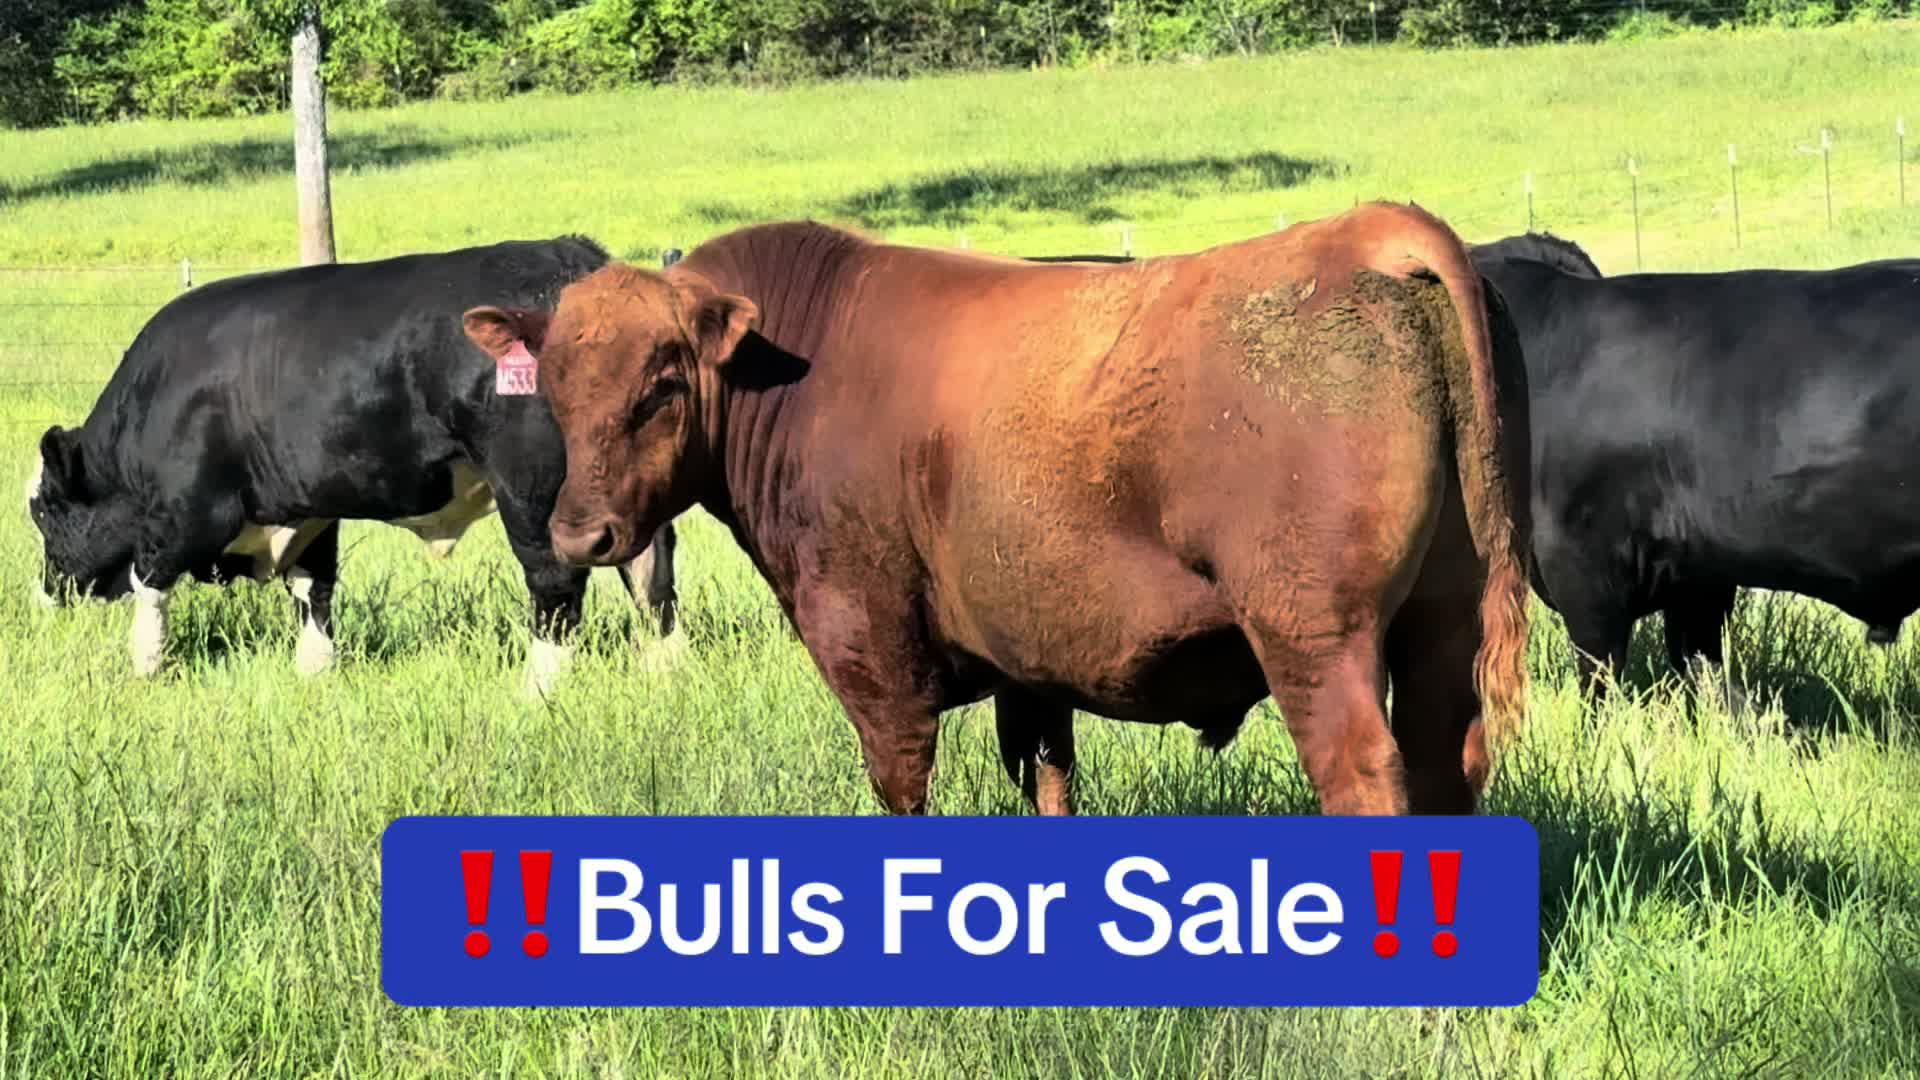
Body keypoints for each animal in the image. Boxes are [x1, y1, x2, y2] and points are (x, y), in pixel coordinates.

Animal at [25, 236, 684, 694]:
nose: (45, 592)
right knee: (652, 570)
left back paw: (540, 685)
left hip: (533, 491)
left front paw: (145, 668)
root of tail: (573, 259)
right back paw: (666, 667)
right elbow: (313, 589)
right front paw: (315, 672)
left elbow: (150, 587)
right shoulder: (308, 509)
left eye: (45, 512)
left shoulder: (188, 512)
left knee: (555, 580)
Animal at [463, 203, 1533, 816]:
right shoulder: (1036, 659)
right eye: (551, 387)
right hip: (1440, 623)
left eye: (660, 387)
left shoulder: (868, 642)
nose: (580, 534)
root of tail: (1361, 233)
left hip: (1315, 636)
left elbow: (901, 783)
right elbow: (1049, 782)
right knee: (1448, 763)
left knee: (1367, 776)